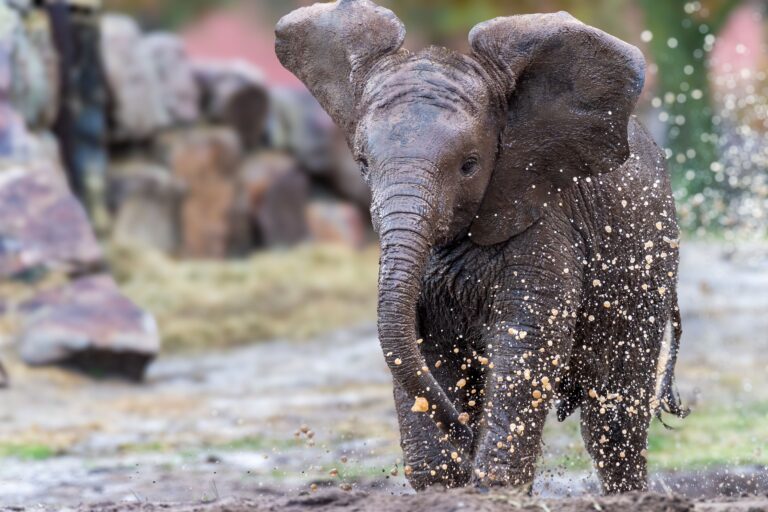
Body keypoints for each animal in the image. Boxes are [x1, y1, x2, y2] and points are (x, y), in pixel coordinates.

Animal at [276, 0, 687, 494]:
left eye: (470, 166)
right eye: (363, 164)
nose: (465, 432)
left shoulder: (544, 221)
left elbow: (527, 337)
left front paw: (494, 487)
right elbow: (418, 340)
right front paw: (444, 487)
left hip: (647, 268)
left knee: (613, 415)